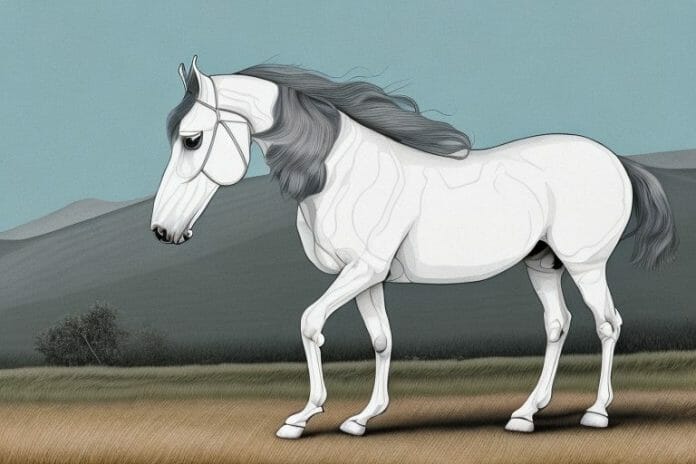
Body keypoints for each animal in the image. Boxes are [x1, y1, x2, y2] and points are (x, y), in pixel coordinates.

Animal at [151, 56, 678, 438]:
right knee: (558, 325)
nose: (163, 231)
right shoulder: (367, 279)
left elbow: (311, 324)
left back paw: (596, 412)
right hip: (544, 265)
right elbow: (382, 340)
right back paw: (525, 414)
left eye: (192, 140)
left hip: (586, 265)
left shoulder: (361, 271)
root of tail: (617, 160)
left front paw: (301, 418)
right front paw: (362, 418)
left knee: (607, 325)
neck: (340, 174)